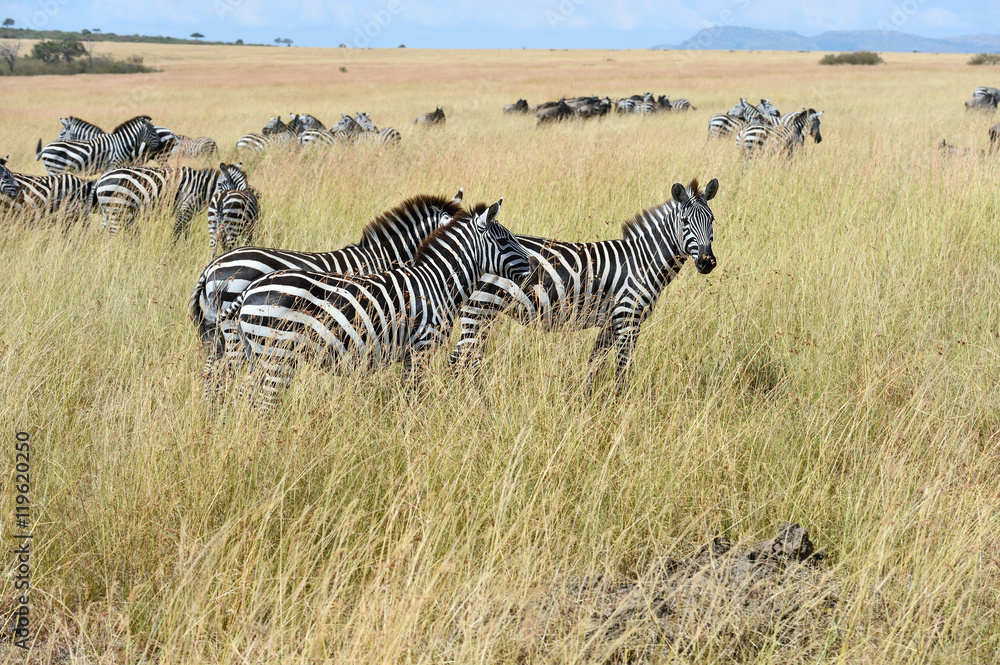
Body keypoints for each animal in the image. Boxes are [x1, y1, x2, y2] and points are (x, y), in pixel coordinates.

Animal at [94, 161, 250, 236]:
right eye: (236, 185)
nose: (248, 203)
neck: (201, 188)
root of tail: (101, 178)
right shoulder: (184, 209)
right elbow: (176, 233)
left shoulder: (189, 215)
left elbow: (185, 235)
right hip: (117, 209)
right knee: (112, 235)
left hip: (109, 211)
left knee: (100, 234)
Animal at [229, 200, 532, 412]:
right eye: (504, 240)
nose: (532, 267)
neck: (436, 281)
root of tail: (249, 291)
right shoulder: (421, 348)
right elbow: (414, 397)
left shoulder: (409, 352)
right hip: (277, 354)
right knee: (264, 405)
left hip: (256, 354)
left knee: (246, 398)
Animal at [452, 176, 720, 390]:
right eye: (685, 222)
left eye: (713, 220)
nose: (707, 262)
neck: (643, 261)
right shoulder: (628, 317)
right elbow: (623, 368)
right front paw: (620, 403)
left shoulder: (611, 322)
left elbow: (594, 364)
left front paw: (585, 400)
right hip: (478, 311)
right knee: (459, 360)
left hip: (484, 314)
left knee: (468, 360)